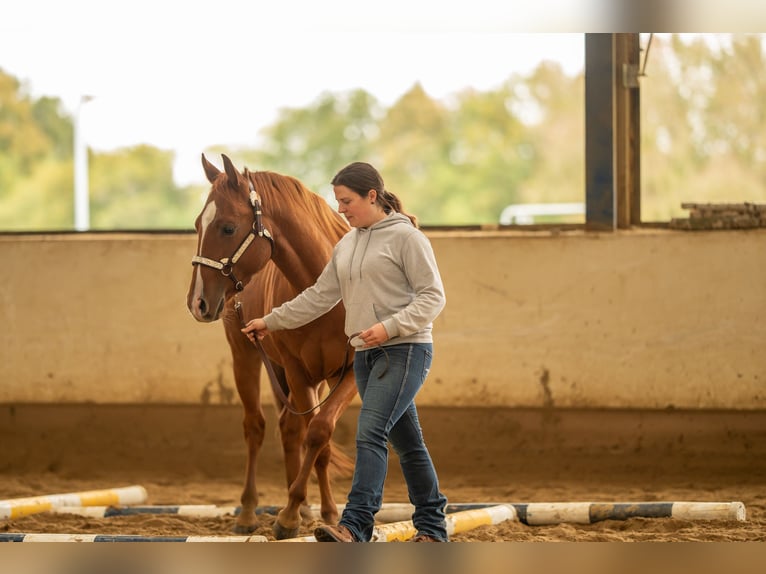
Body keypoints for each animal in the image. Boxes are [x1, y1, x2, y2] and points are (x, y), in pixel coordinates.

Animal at [188, 154, 358, 540]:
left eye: (227, 228)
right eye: (197, 225)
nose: (197, 302)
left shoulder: (350, 373)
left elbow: (320, 435)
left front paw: (323, 513)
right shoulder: (298, 372)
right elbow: (313, 438)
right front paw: (289, 515)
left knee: (290, 429)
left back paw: (308, 508)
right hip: (246, 359)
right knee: (257, 427)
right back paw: (250, 511)